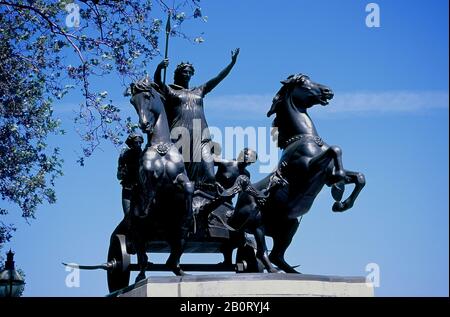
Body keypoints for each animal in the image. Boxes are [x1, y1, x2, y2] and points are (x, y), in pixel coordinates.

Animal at [232, 73, 366, 272]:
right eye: (302, 82)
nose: (328, 91)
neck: (305, 138)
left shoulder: (325, 175)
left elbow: (359, 177)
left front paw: (341, 204)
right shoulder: (307, 168)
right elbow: (335, 149)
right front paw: (338, 189)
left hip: (289, 225)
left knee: (277, 254)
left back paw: (292, 272)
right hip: (257, 223)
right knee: (262, 252)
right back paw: (273, 271)